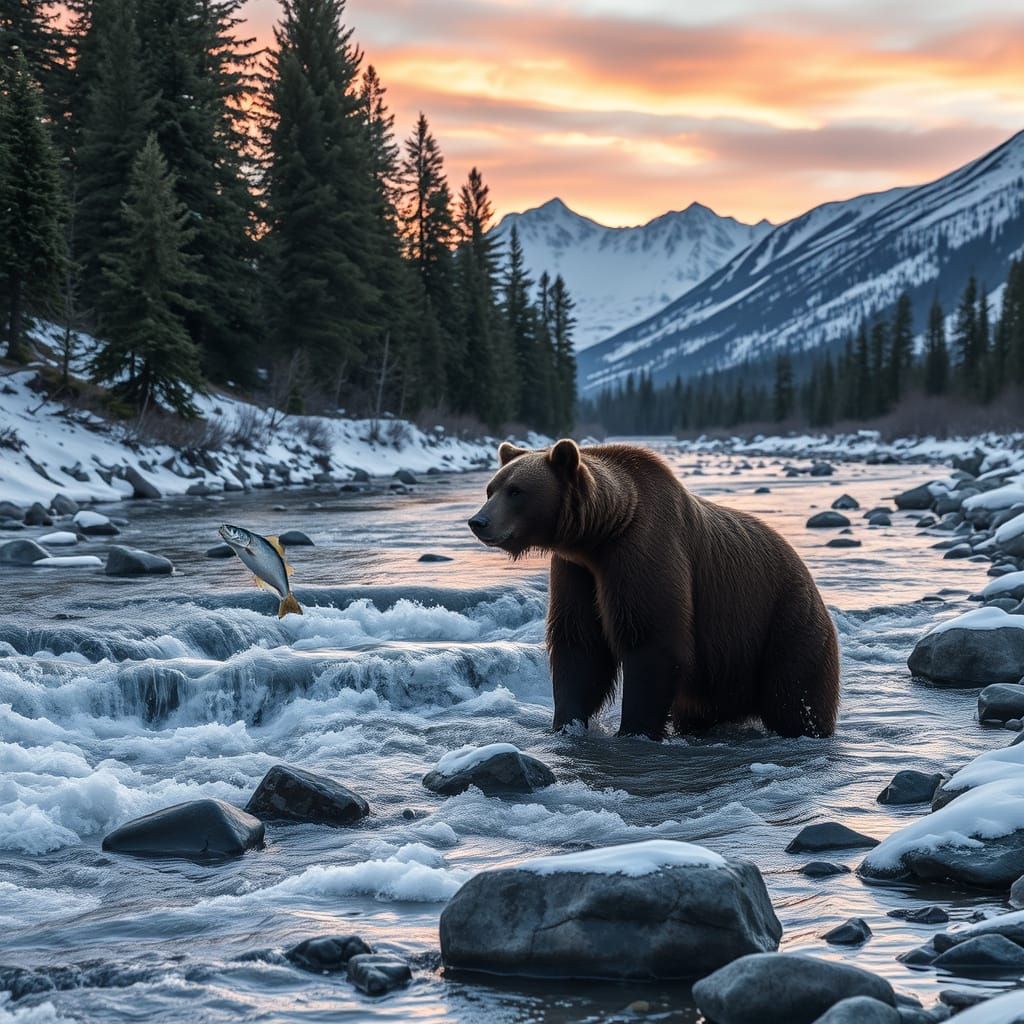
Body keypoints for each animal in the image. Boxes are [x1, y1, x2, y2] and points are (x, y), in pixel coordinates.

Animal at [468, 439, 839, 741]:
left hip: (782, 622)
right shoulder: (576, 572)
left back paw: (805, 728)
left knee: (796, 696)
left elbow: (651, 640)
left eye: (516, 491)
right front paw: (566, 723)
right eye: (491, 489)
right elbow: (580, 645)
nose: (478, 521)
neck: (601, 533)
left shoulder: (644, 550)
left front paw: (635, 729)